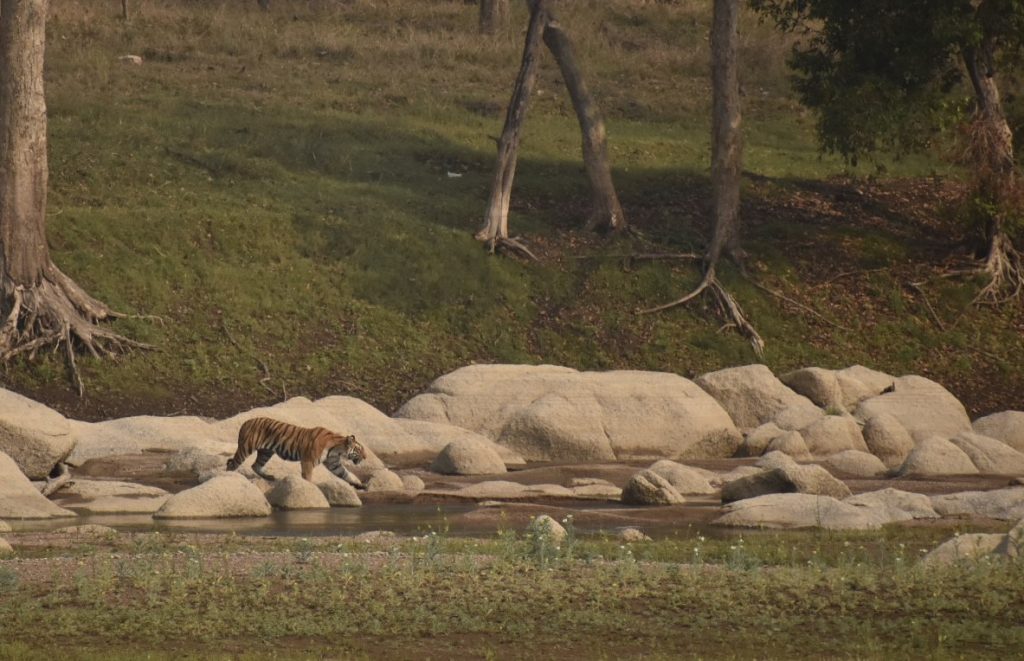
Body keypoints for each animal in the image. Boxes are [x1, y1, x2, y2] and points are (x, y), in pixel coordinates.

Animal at [226, 417, 366, 489]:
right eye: (359, 450)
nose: (365, 457)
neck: (337, 449)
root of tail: (245, 422)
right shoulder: (308, 461)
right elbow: (308, 477)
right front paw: (311, 488)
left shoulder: (333, 463)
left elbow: (345, 474)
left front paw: (358, 485)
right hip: (246, 448)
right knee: (232, 464)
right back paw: (228, 476)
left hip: (266, 452)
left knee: (255, 465)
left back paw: (269, 477)